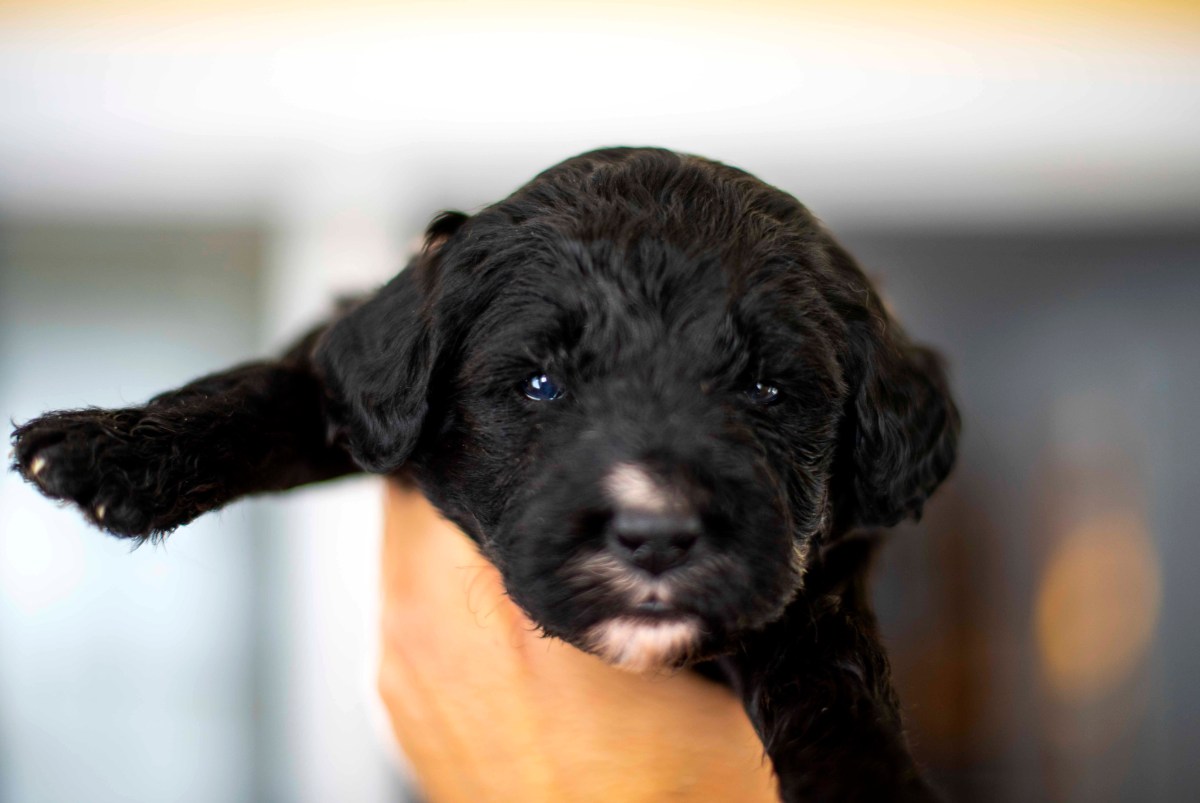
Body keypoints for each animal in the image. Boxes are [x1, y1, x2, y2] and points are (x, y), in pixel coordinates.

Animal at [12, 147, 959, 801]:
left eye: (767, 390)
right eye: (541, 383)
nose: (657, 534)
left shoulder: (818, 575)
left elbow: (831, 670)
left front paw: (868, 779)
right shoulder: (357, 385)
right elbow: (272, 391)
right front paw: (114, 448)